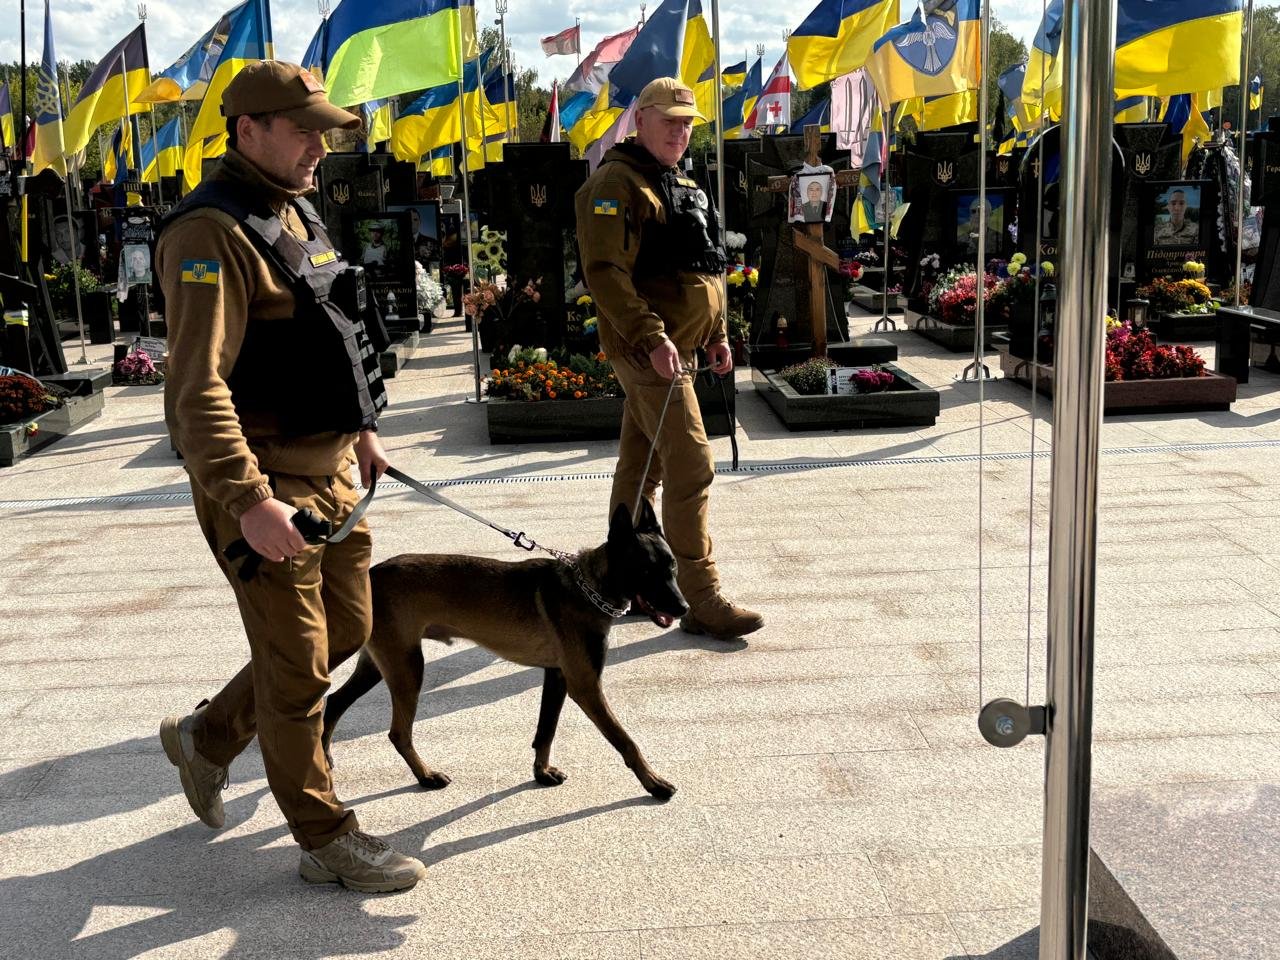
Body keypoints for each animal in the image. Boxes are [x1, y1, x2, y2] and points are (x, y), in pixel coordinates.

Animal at [320, 504, 686, 803]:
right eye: (646, 571)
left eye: (672, 567)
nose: (683, 608)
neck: (588, 588)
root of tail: (371, 573)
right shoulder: (586, 687)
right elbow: (625, 740)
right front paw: (654, 783)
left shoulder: (557, 677)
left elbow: (546, 731)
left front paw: (541, 772)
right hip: (408, 667)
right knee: (397, 733)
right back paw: (425, 776)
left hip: (381, 664)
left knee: (334, 703)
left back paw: (325, 762)